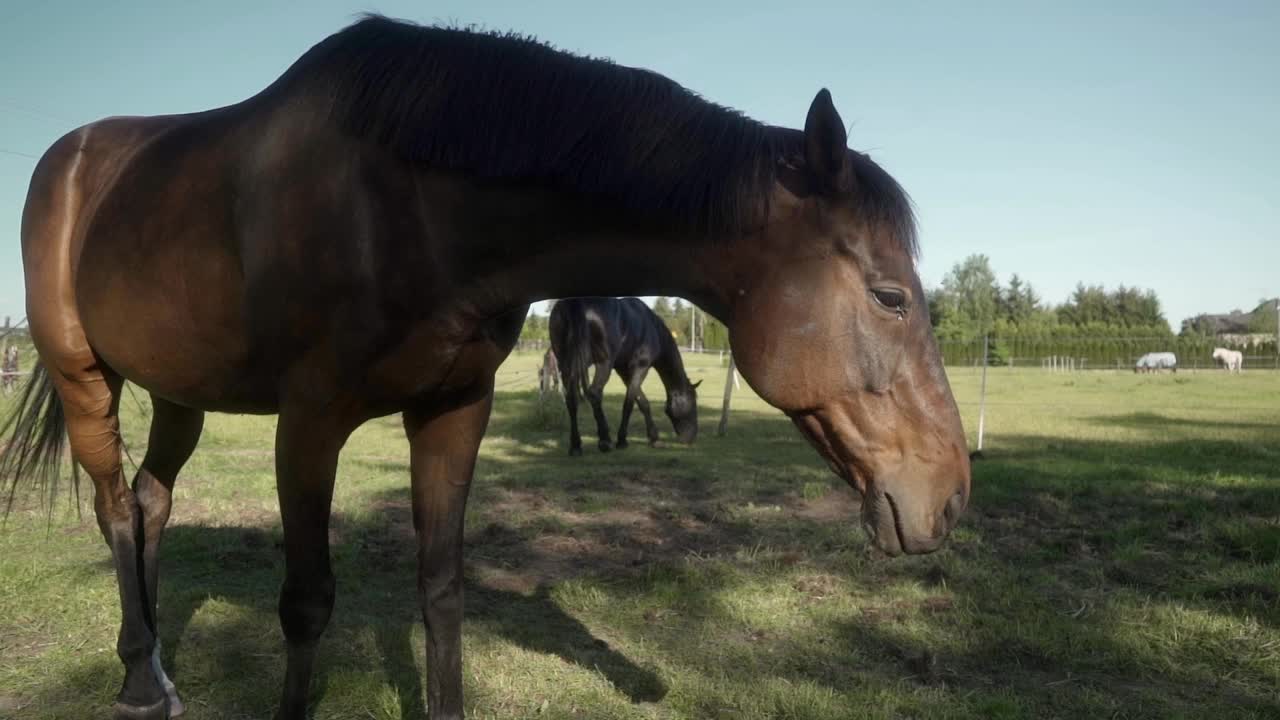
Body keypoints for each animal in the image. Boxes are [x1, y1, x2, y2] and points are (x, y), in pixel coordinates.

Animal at [547, 294, 701, 450]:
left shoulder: (623, 370)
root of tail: (575, 302)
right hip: (603, 364)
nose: (691, 436)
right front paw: (622, 440)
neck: (652, 328)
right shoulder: (640, 368)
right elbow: (629, 402)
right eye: (693, 402)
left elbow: (642, 402)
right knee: (594, 393)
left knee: (571, 398)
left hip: (566, 365)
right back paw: (604, 440)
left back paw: (576, 446)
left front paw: (654, 437)